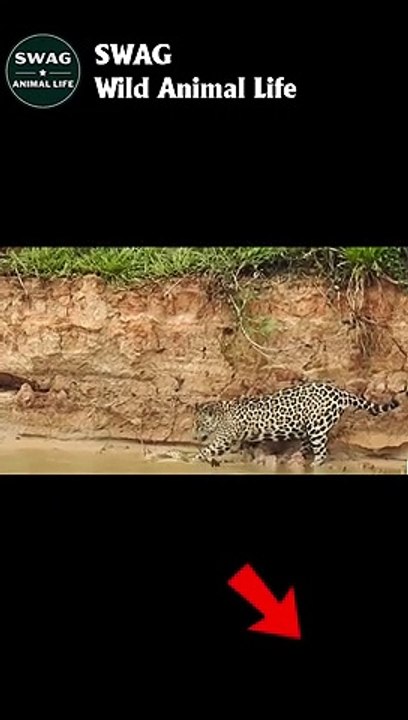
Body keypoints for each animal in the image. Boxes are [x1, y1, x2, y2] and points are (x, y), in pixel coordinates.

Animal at [193, 381, 402, 467]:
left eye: (199, 424)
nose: (194, 436)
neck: (220, 413)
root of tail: (340, 392)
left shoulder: (224, 438)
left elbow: (208, 449)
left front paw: (192, 459)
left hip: (317, 427)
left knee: (322, 452)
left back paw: (314, 464)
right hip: (309, 427)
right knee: (306, 446)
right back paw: (293, 458)